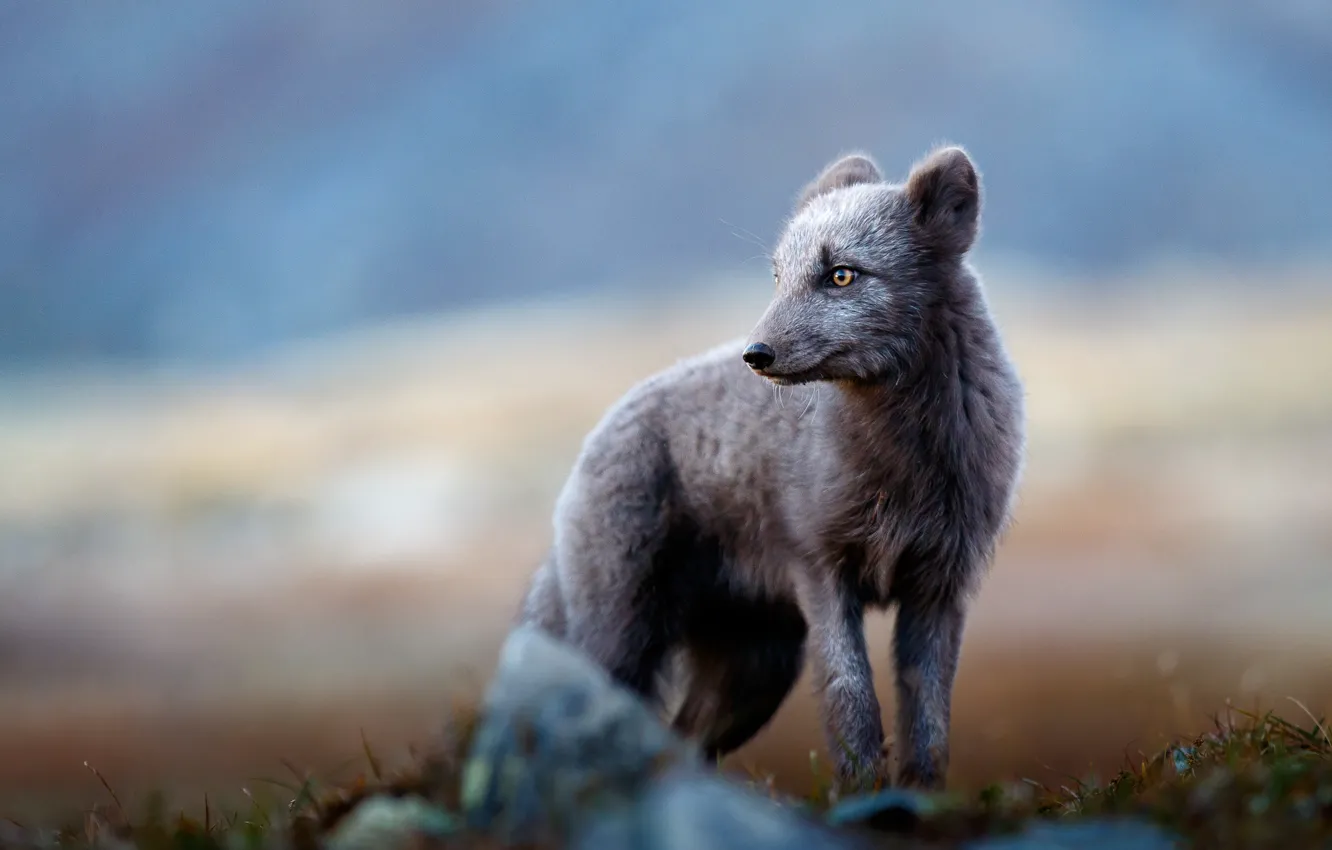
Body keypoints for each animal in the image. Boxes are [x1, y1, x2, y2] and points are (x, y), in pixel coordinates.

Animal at [515, 144, 1025, 790]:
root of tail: (595, 434)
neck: (904, 465)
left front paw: (918, 798)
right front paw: (861, 793)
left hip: (755, 671)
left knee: (681, 741)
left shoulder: (940, 586)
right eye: (778, 276)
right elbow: (851, 698)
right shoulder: (822, 572)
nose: (755, 355)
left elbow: (928, 717)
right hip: (623, 634)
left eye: (841, 275)